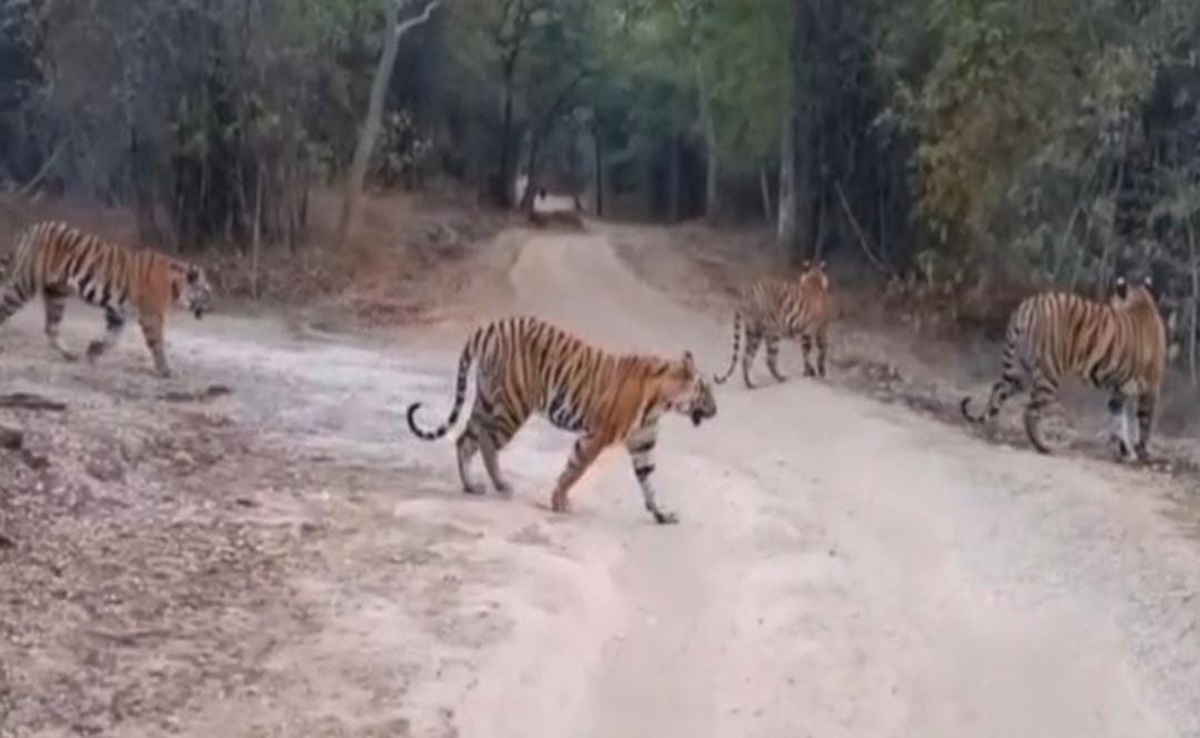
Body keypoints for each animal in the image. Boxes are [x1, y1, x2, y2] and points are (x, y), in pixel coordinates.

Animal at [0, 220, 213, 378]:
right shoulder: (151, 317)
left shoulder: (118, 312)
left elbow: (112, 338)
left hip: (56, 293)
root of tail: (32, 229)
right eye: (206, 291)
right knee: (6, 306)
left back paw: (70, 354)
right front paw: (166, 370)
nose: (211, 307)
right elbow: (158, 344)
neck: (176, 287)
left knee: (51, 328)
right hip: (24, 285)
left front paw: (93, 352)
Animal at [405, 315, 718, 524]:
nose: (716, 410)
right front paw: (560, 501)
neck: (661, 402)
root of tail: (492, 326)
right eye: (705, 390)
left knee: (464, 439)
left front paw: (662, 514)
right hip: (513, 405)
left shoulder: (641, 443)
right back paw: (501, 484)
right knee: (485, 439)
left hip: (486, 399)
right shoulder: (597, 435)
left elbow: (648, 481)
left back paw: (471, 486)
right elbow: (574, 470)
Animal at [713, 259, 831, 388]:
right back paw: (781, 378)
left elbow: (806, 354)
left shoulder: (806, 333)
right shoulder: (820, 330)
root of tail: (747, 297)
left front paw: (809, 372)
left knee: (746, 358)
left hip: (754, 332)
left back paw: (750, 384)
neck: (814, 280)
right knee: (769, 360)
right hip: (773, 332)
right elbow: (820, 351)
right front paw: (817, 371)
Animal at [960, 275, 1166, 461]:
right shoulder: (1151, 387)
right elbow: (1144, 420)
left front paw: (1125, 451)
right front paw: (1142, 452)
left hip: (1018, 371)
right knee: (1031, 411)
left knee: (998, 389)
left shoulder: (1119, 391)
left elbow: (1119, 422)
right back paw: (1044, 446)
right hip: (1049, 373)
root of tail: (1027, 307)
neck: (1141, 301)